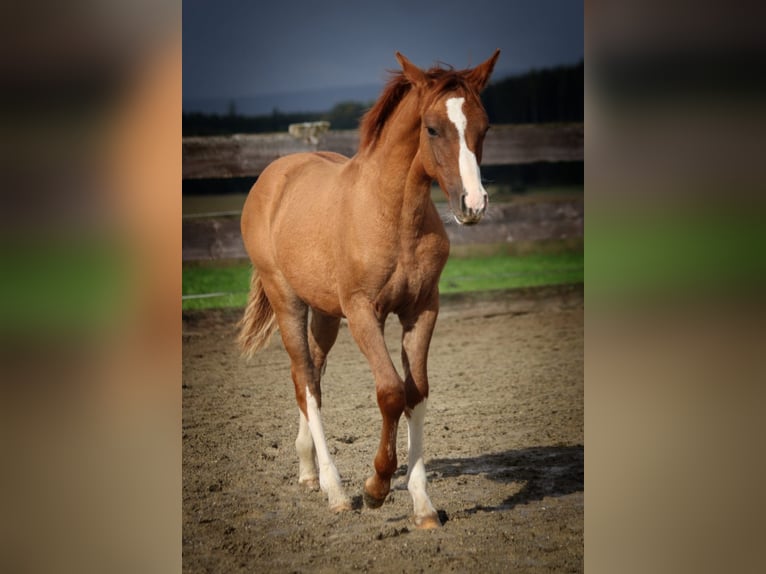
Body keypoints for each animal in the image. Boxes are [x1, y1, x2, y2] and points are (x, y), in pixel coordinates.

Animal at [242, 50, 504, 532]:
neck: (393, 215)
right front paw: (376, 487)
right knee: (305, 380)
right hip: (288, 301)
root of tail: (273, 175)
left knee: (313, 375)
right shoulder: (364, 312)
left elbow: (416, 392)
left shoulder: (422, 310)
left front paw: (423, 505)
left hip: (325, 313)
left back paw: (307, 471)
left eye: (485, 126)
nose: (473, 205)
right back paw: (335, 490)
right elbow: (390, 392)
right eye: (432, 128)